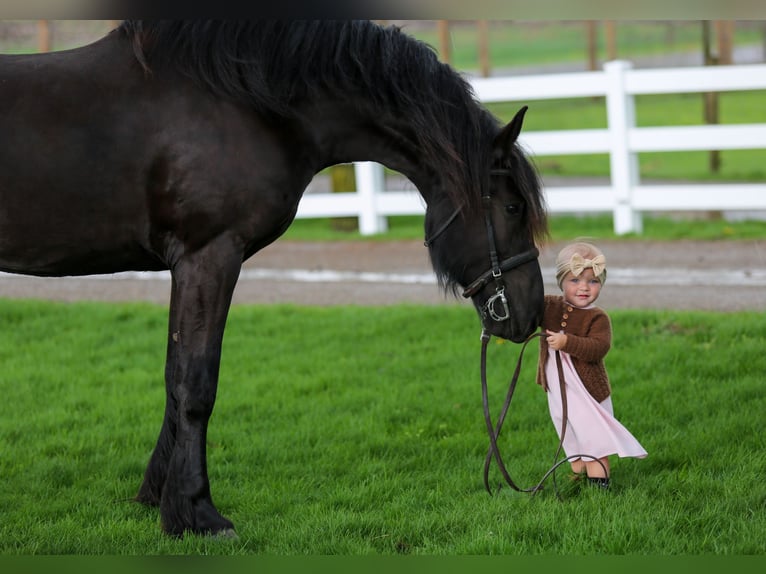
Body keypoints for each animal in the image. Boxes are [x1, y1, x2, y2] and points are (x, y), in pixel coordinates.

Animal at [0, 20, 548, 537]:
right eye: (514, 207)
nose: (531, 312)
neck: (248, 104)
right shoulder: (210, 256)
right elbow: (195, 383)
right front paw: (197, 512)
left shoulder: (188, 265)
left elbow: (173, 380)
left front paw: (159, 497)